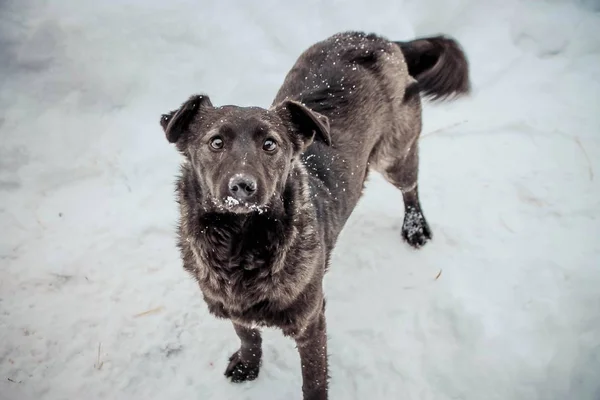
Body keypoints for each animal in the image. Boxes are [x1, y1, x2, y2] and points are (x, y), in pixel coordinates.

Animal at [162, 32, 472, 400]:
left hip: (394, 156)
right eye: (216, 142)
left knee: (410, 186)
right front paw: (248, 365)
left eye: (270, 144)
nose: (242, 187)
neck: (241, 244)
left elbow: (313, 379)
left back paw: (415, 227)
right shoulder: (230, 303)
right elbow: (247, 334)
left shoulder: (311, 321)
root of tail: (378, 38)